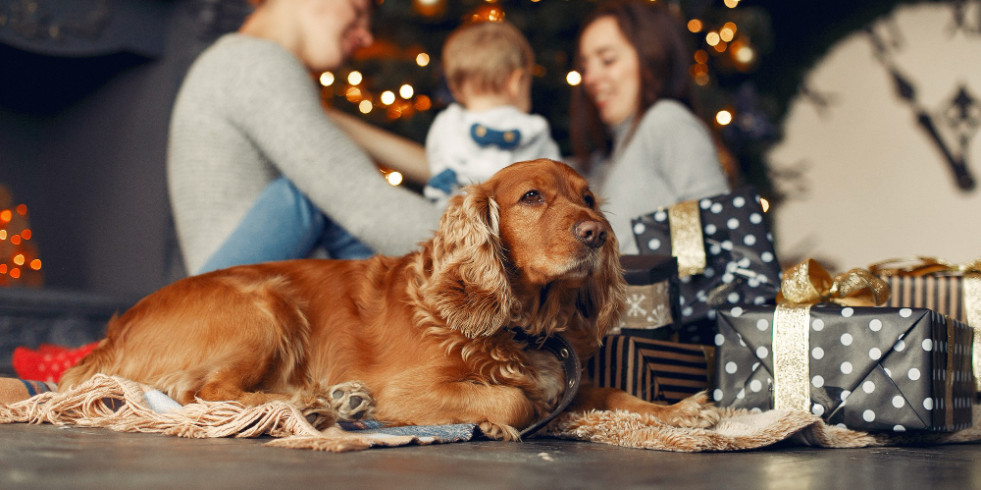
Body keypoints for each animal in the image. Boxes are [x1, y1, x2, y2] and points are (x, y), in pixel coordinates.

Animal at [63, 159, 720, 438]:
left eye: (588, 199)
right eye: (532, 197)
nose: (597, 233)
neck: (520, 323)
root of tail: (113, 333)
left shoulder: (569, 385)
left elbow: (613, 395)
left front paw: (682, 411)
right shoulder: (408, 387)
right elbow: (511, 400)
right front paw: (499, 422)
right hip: (265, 304)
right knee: (205, 394)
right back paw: (319, 405)